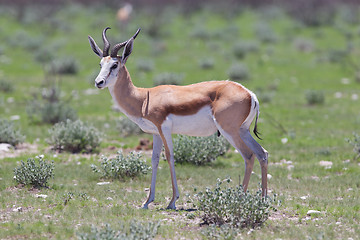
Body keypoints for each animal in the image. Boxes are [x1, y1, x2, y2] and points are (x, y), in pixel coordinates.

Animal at [87, 27, 268, 209]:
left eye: (114, 64)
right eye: (101, 64)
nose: (98, 82)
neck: (144, 98)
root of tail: (250, 94)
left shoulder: (164, 128)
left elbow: (169, 156)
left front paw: (172, 201)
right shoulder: (155, 133)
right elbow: (154, 159)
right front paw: (147, 201)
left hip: (229, 131)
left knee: (248, 155)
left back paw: (241, 198)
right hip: (243, 130)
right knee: (262, 153)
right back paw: (263, 199)